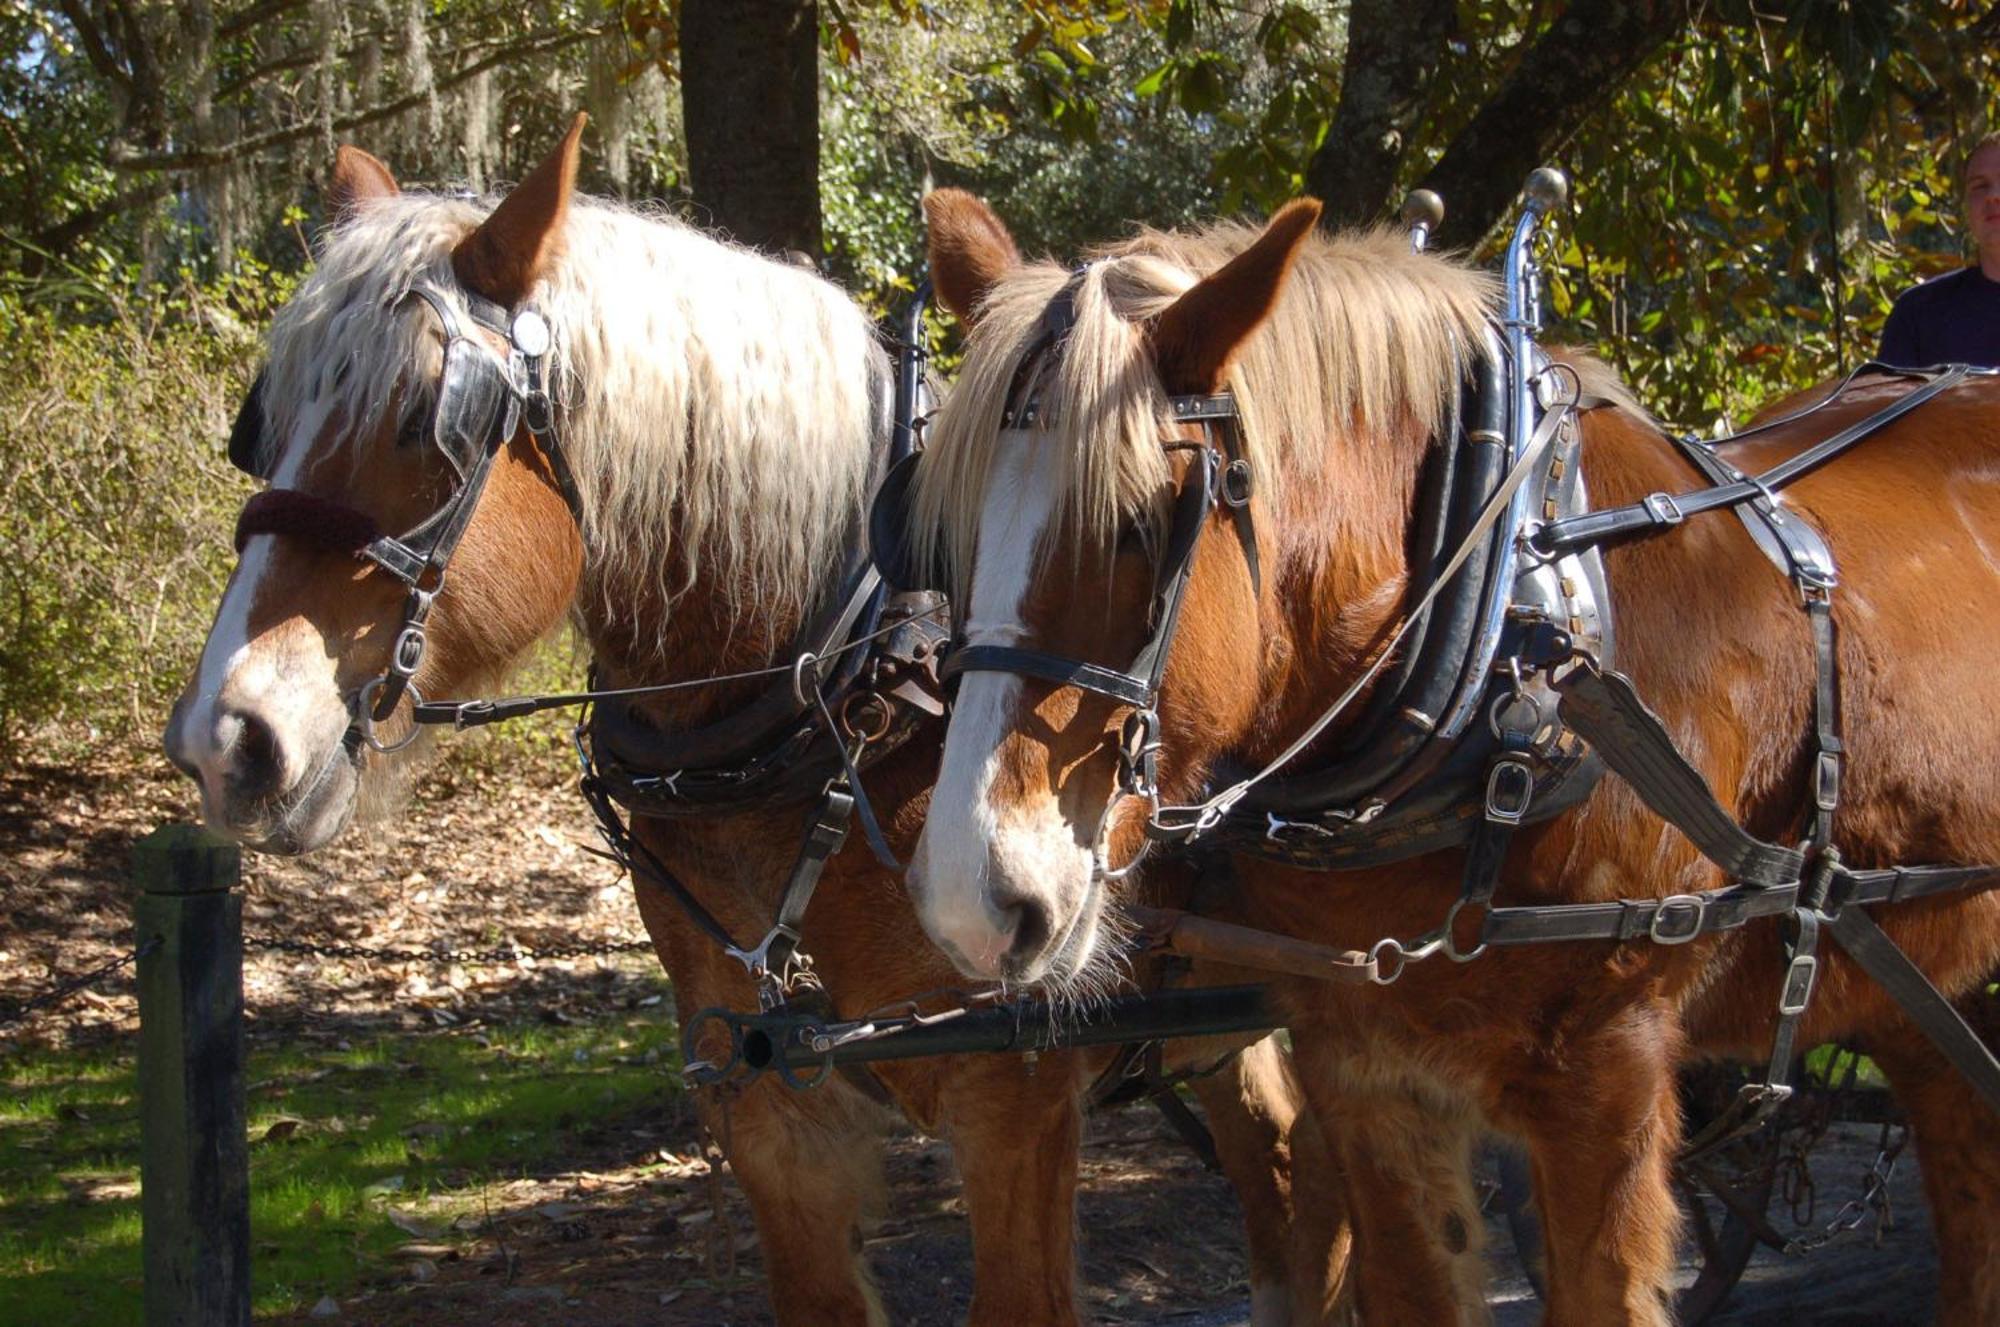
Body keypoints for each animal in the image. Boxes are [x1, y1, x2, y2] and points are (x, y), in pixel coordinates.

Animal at [156, 121, 1344, 1319]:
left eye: (420, 422)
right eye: (262, 427)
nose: (228, 739)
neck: (846, 696)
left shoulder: (1011, 1103)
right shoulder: (765, 1108)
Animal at [912, 188, 2000, 1327]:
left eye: (1137, 523)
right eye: (949, 534)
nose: (971, 902)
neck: (1505, 643)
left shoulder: (1606, 1077)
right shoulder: (1366, 1070)